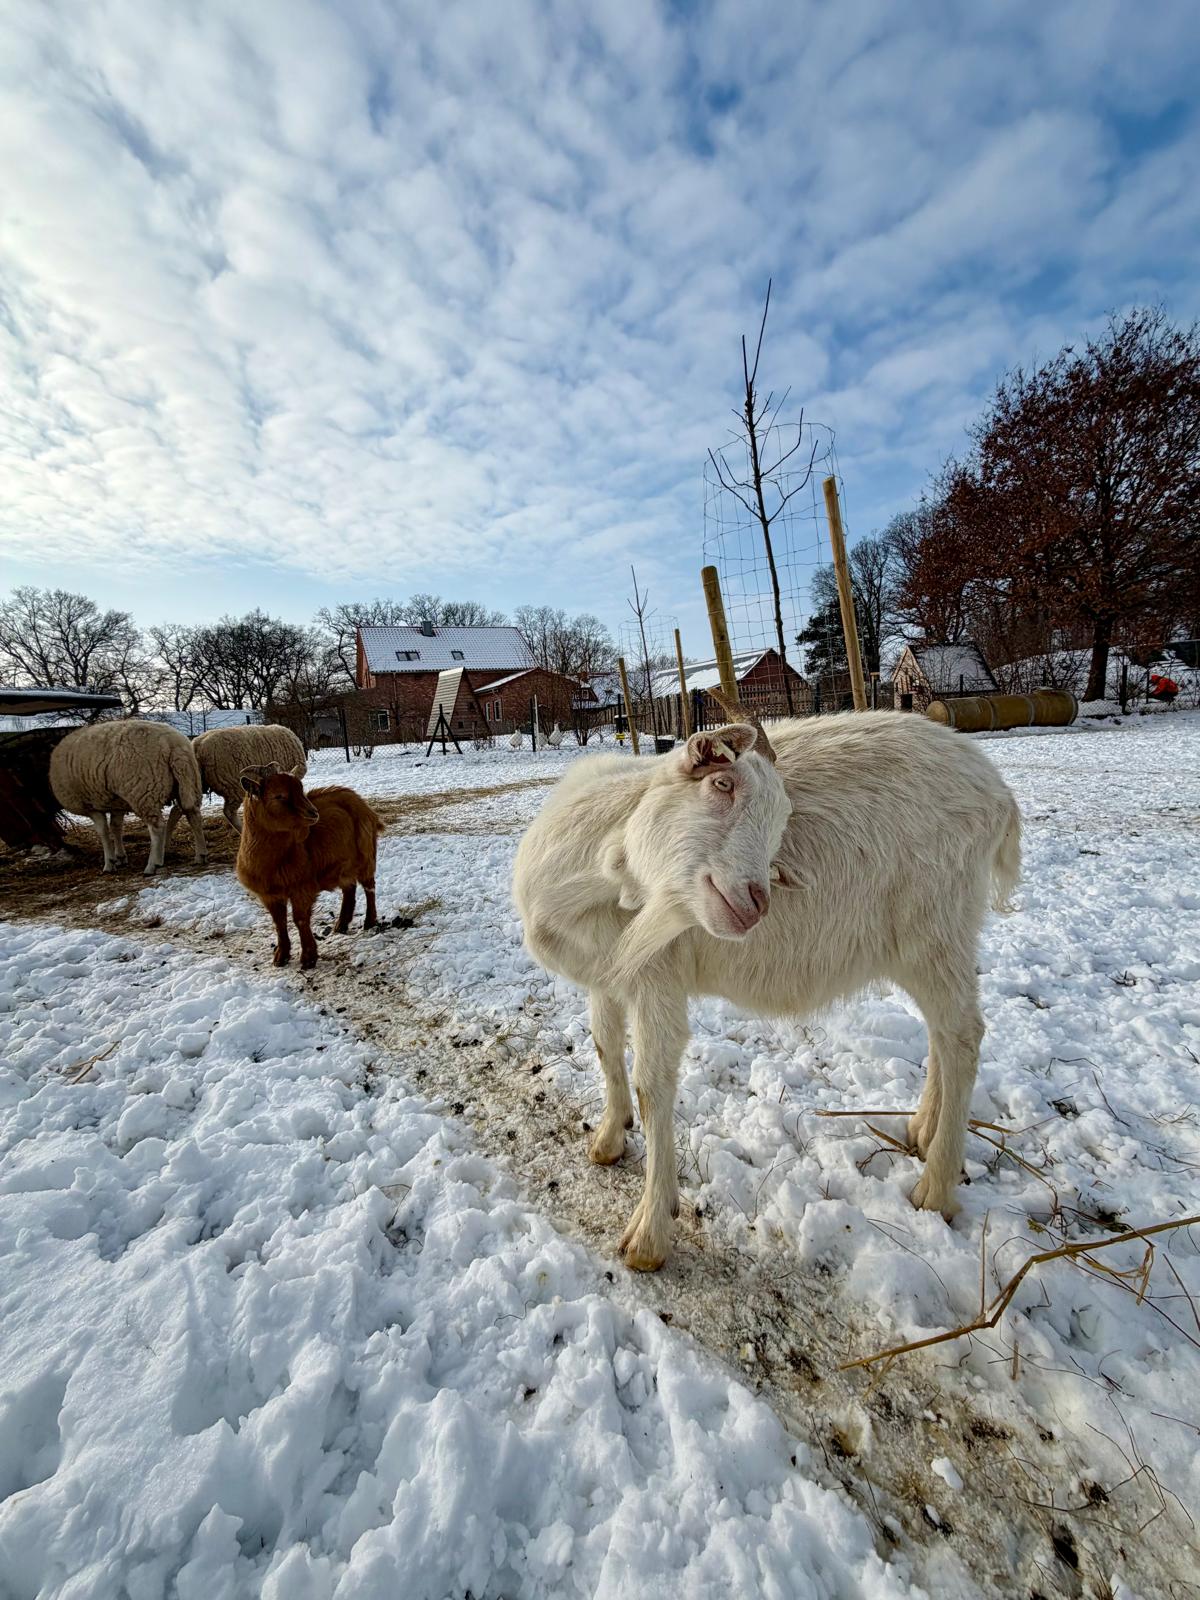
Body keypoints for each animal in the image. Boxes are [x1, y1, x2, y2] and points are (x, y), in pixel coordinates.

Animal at [236, 765, 383, 969]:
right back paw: (342, 924)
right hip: (343, 864)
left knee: (369, 887)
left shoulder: (302, 887)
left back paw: (369, 921)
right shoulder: (269, 895)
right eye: (279, 796)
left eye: (300, 789)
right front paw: (280, 957)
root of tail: (362, 803)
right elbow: (279, 923)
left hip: (366, 855)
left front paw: (308, 958)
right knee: (349, 888)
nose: (313, 813)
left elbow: (300, 919)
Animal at [513, 713, 1021, 1271]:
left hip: (937, 928)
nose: (757, 901)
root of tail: (997, 790)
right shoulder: (606, 975)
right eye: (722, 784)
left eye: (780, 822)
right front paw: (607, 1138)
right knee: (942, 1032)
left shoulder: (657, 977)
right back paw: (922, 1130)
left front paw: (649, 1234)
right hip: (929, 944)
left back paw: (936, 1187)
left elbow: (653, 1086)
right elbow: (605, 1047)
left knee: (963, 1035)